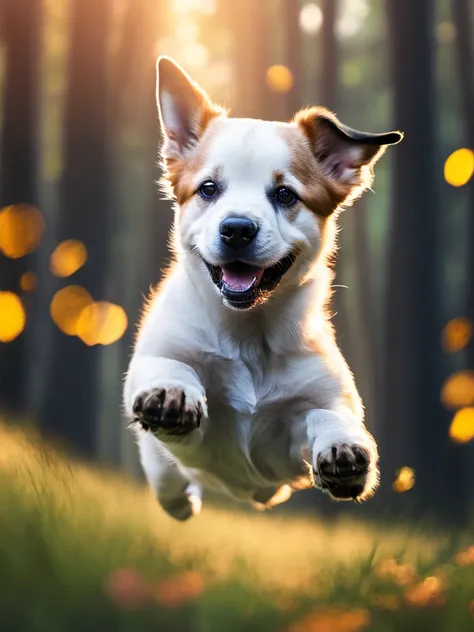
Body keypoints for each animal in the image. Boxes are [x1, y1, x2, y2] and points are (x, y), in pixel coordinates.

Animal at [123, 56, 404, 520]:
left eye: (285, 194)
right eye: (208, 188)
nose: (237, 228)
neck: (248, 334)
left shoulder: (300, 426)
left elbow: (328, 414)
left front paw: (343, 446)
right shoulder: (199, 436)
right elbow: (170, 367)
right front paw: (171, 391)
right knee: (165, 479)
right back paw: (181, 498)